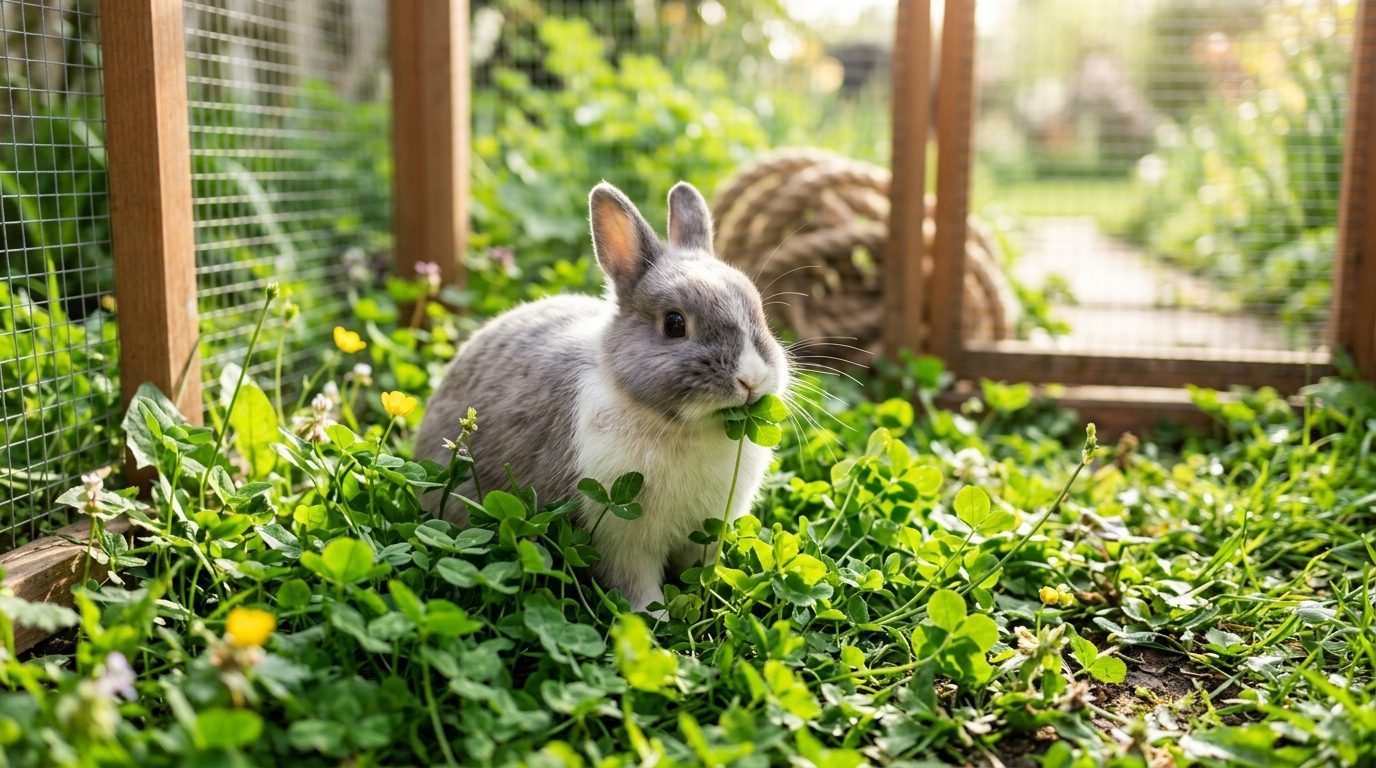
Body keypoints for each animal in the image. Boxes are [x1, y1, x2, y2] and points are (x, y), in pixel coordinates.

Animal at [415, 181, 790, 613]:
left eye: (759, 311)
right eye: (674, 324)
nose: (751, 379)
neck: (688, 428)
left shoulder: (706, 534)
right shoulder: (622, 542)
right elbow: (637, 587)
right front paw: (655, 620)